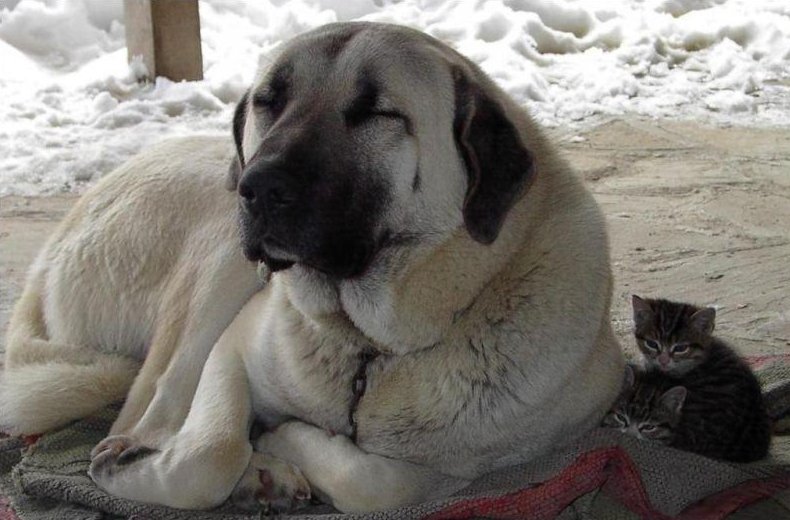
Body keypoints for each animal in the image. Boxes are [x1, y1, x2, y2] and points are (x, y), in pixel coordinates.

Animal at [1, 24, 632, 512]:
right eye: (268, 101)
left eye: (376, 112)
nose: (258, 188)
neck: (366, 346)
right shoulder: (233, 346)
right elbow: (208, 454)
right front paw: (176, 461)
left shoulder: (452, 467)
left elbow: (374, 480)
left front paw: (284, 440)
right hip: (219, 257)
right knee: (146, 405)